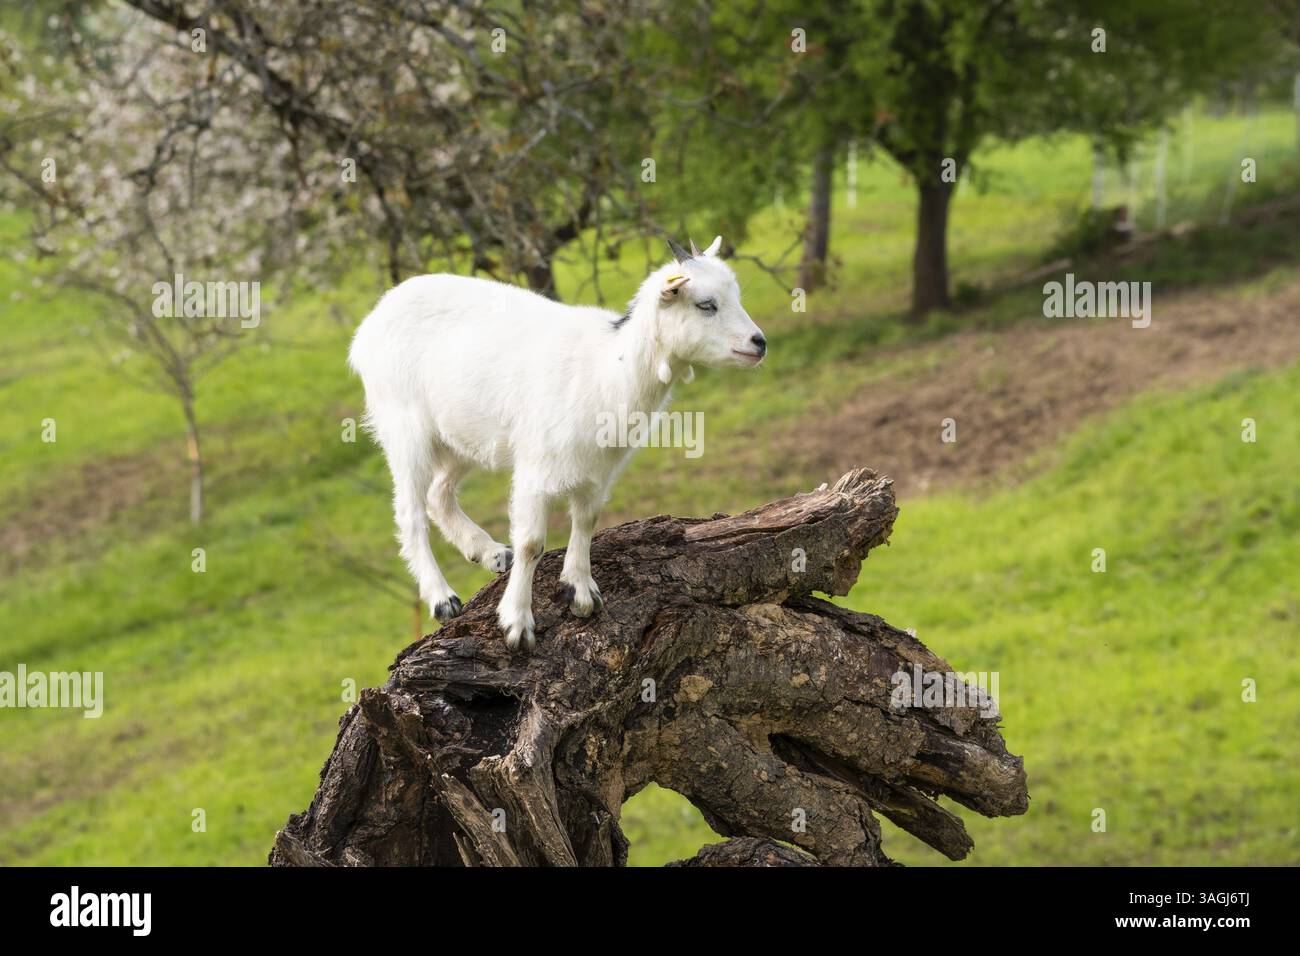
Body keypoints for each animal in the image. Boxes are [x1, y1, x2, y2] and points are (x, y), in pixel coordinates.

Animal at [348, 235, 767, 650]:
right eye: (706, 304)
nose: (759, 342)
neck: (608, 370)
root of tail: (370, 324)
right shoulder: (535, 468)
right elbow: (532, 543)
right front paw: (517, 623)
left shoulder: (598, 469)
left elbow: (586, 521)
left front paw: (580, 591)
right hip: (405, 425)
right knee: (411, 511)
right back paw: (442, 598)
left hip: (463, 434)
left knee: (439, 493)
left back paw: (490, 553)